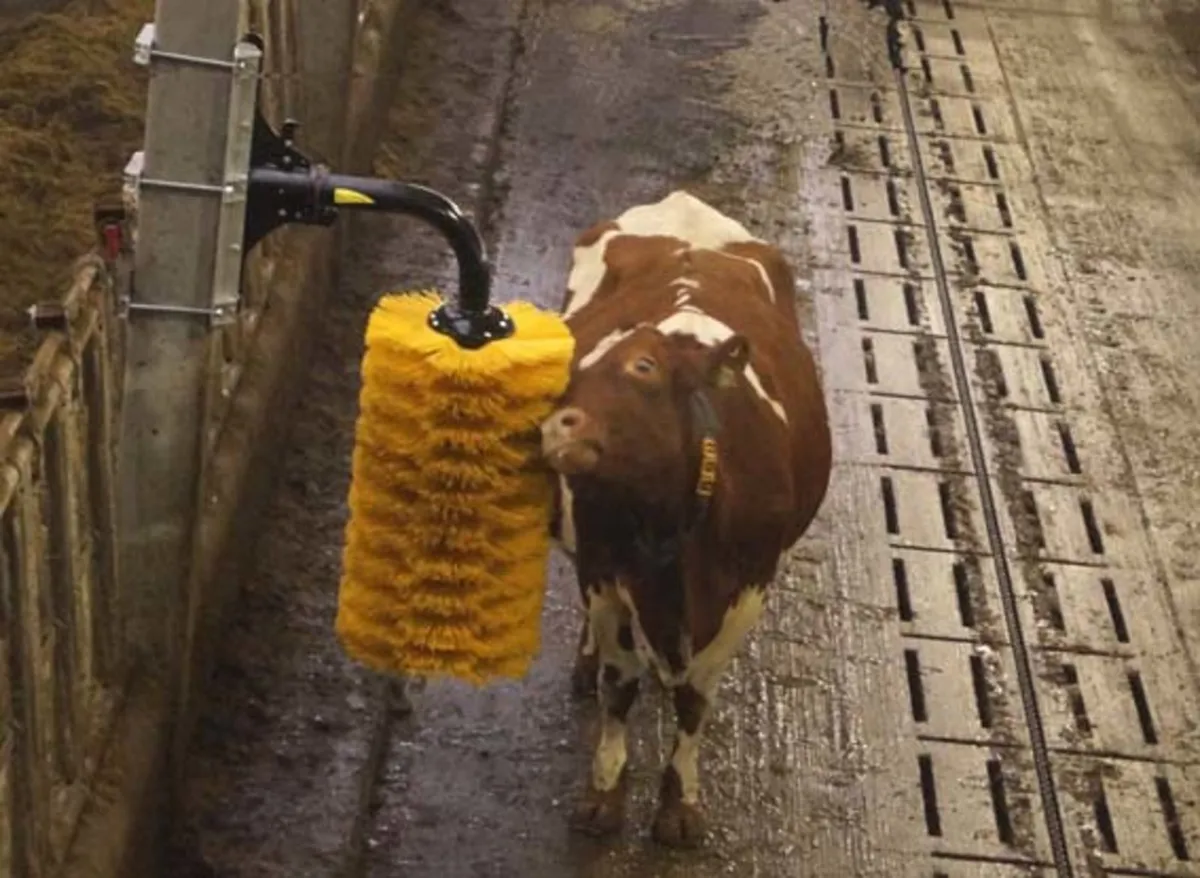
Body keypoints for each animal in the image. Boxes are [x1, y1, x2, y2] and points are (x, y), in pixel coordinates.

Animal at [539, 190, 833, 848]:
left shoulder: (748, 589)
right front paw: (605, 794)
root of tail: (683, 204)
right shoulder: (608, 573)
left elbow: (696, 702)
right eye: (568, 372)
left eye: (643, 369)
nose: (553, 426)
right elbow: (618, 688)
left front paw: (680, 804)